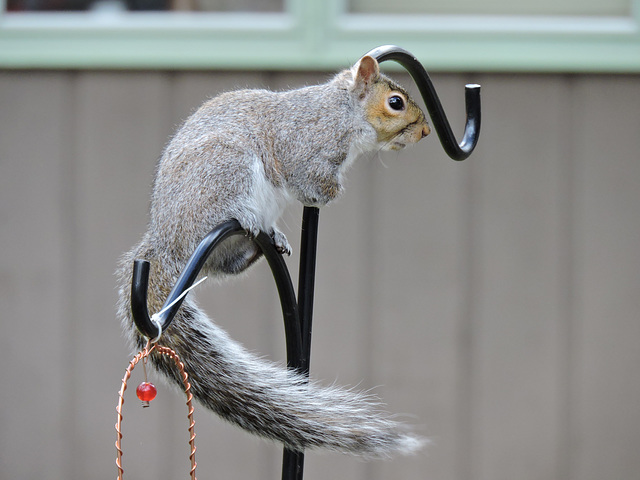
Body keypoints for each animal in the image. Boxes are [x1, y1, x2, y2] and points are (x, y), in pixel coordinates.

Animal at [118, 54, 432, 460]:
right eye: (396, 102)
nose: (425, 131)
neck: (343, 111)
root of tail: (165, 240)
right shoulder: (305, 145)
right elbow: (310, 180)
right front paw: (331, 193)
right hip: (224, 171)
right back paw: (249, 220)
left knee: (229, 264)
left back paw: (268, 242)